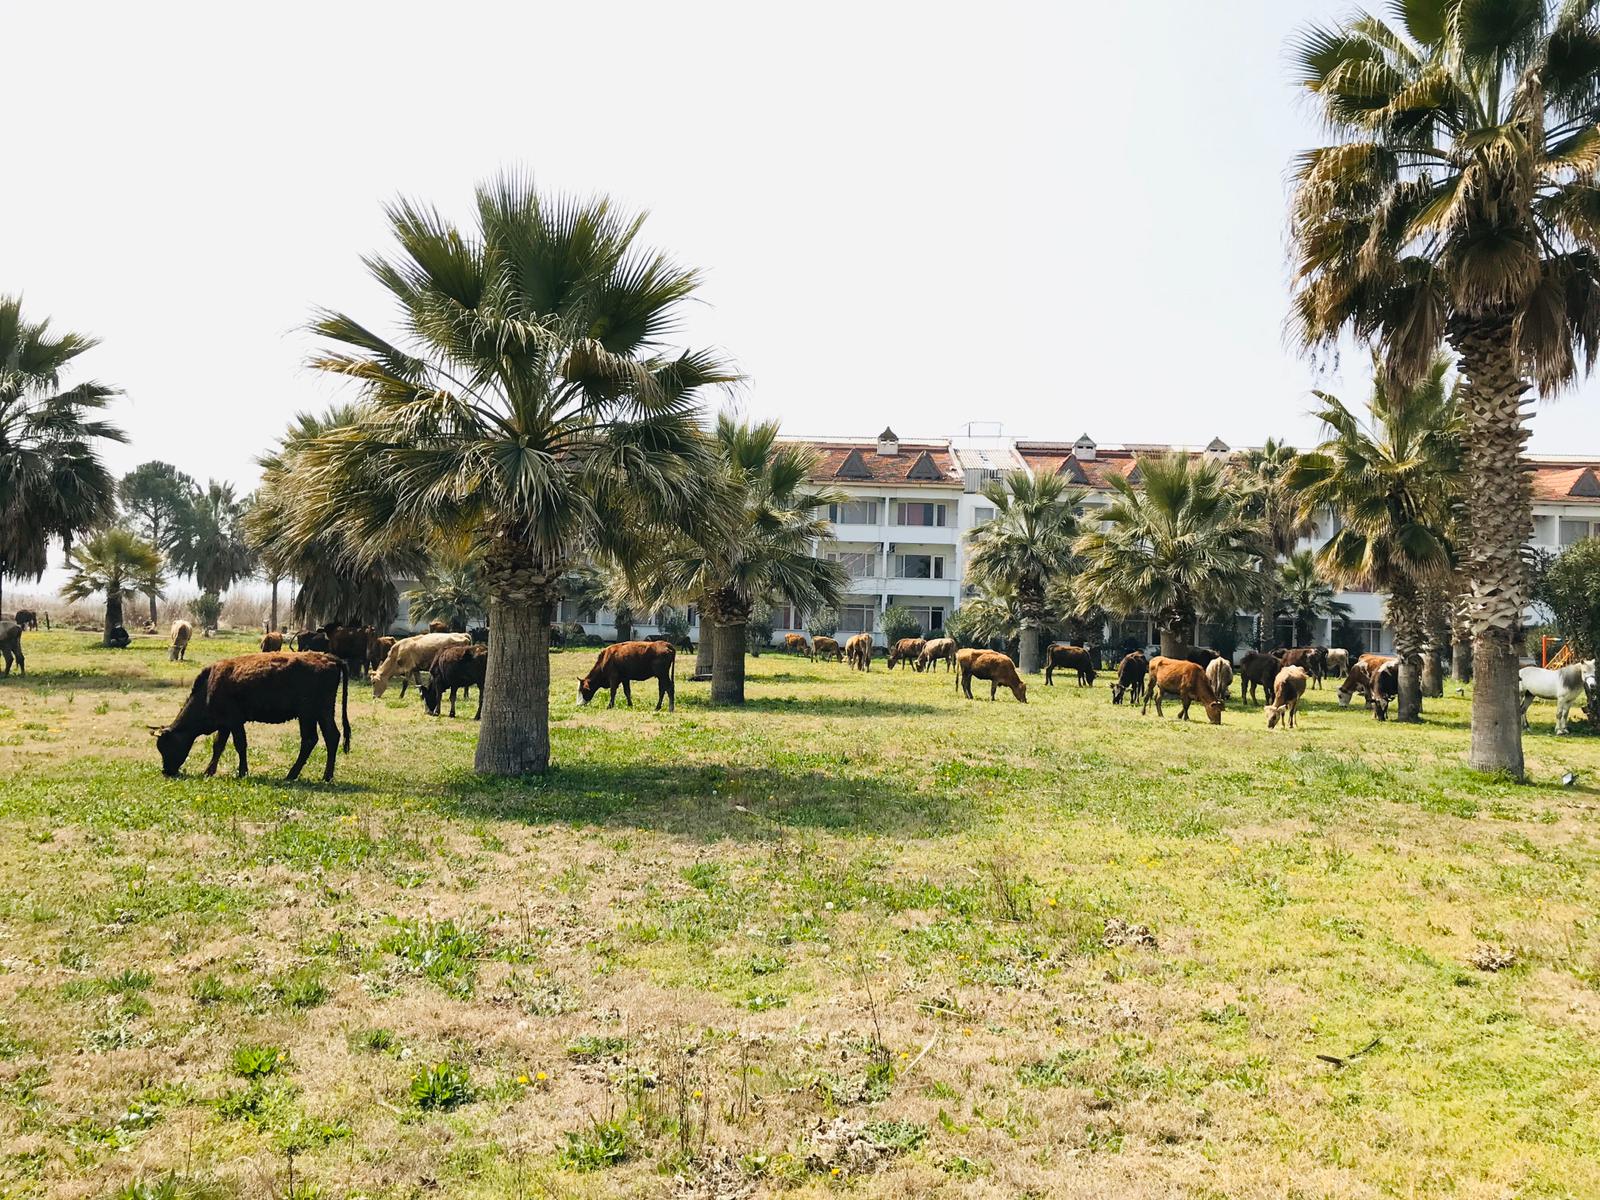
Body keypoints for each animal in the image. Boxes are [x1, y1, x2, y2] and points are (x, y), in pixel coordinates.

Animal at [152, 652, 350, 784]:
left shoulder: (234, 721)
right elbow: (218, 745)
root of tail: (330, 658)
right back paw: (324, 776)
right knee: (330, 737)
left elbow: (240, 744)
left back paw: (294, 775)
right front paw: (209, 771)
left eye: (166, 746)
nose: (166, 771)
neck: (208, 687)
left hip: (309, 714)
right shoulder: (225, 724)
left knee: (311, 739)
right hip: (320, 713)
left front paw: (242, 772)